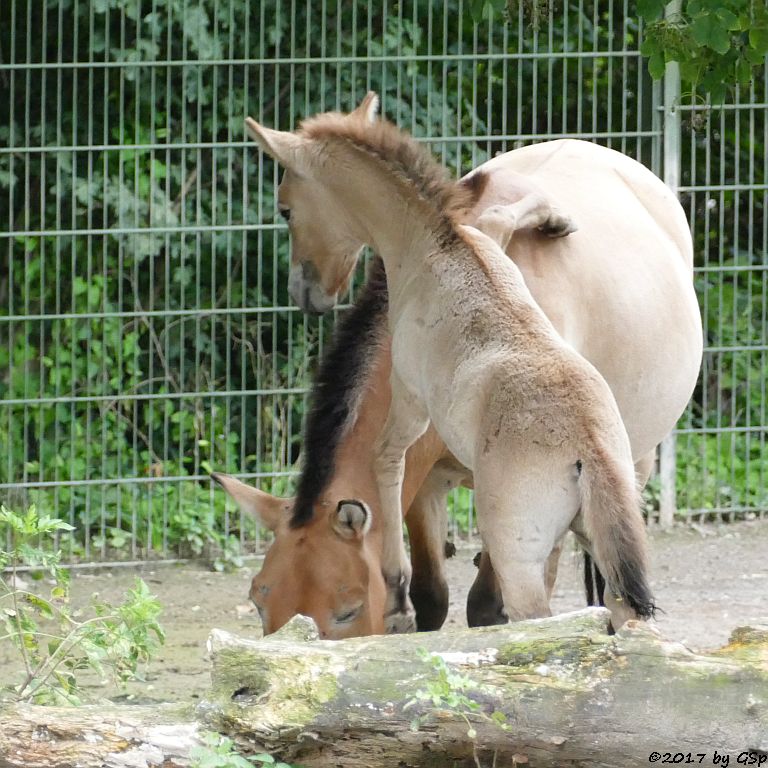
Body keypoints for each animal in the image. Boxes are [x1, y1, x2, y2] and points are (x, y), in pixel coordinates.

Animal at [238, 93, 704, 636]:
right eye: (258, 599)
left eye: (285, 208)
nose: (307, 295)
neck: (438, 243)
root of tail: (587, 450)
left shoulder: (409, 395)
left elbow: (385, 457)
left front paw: (395, 587)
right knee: (624, 613)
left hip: (555, 530)